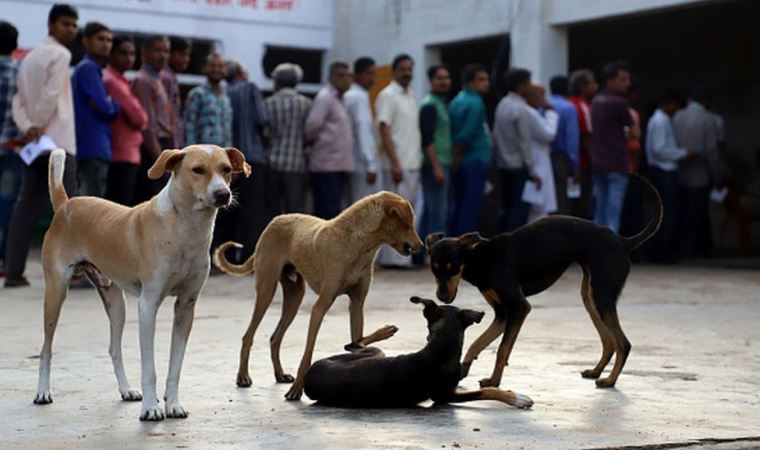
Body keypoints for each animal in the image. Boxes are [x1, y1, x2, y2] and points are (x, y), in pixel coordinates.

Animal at [36, 146, 249, 420]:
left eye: (226, 169)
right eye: (198, 170)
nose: (223, 194)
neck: (183, 228)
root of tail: (66, 204)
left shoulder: (186, 306)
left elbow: (175, 367)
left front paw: (173, 404)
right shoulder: (148, 306)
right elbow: (150, 368)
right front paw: (151, 408)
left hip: (117, 304)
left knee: (114, 349)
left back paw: (126, 390)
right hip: (56, 293)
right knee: (46, 349)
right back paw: (42, 392)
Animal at [215, 192, 422, 400]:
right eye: (408, 224)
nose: (421, 246)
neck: (356, 242)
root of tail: (275, 220)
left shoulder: (356, 305)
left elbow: (358, 341)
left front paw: (383, 333)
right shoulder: (320, 307)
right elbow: (308, 353)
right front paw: (297, 388)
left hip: (294, 297)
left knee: (275, 338)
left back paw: (279, 374)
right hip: (266, 291)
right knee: (247, 337)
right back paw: (243, 376)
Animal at [302, 298, 536, 410]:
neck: (440, 347)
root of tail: (309, 373)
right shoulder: (444, 397)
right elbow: (487, 391)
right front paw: (517, 398)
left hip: (367, 355)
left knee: (351, 345)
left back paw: (385, 330)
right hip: (375, 354)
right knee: (352, 344)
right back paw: (384, 331)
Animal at [424, 174, 664, 388]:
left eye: (453, 268)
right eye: (434, 270)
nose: (442, 297)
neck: (481, 258)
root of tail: (623, 242)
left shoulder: (518, 308)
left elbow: (502, 349)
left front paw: (495, 381)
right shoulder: (503, 314)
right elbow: (477, 343)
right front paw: (464, 369)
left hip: (602, 298)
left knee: (623, 343)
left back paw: (610, 380)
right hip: (591, 298)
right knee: (609, 341)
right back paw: (596, 371)